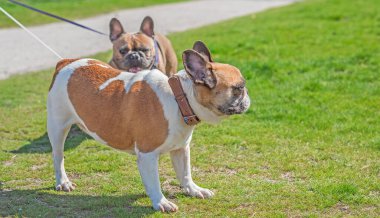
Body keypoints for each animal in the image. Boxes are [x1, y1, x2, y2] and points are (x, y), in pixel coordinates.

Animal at [46, 41, 249, 211]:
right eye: (239, 88)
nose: (248, 96)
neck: (180, 98)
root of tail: (66, 62)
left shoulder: (181, 149)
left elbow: (185, 173)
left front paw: (193, 190)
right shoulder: (147, 155)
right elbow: (154, 181)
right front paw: (161, 202)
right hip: (57, 128)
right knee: (58, 157)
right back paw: (63, 182)